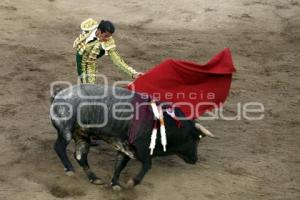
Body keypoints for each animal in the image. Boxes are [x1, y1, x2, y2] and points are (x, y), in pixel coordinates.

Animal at [50, 84, 213, 189]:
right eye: (195, 139)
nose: (195, 159)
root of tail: (59, 94)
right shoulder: (141, 147)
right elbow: (147, 165)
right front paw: (132, 182)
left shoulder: (125, 146)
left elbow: (120, 164)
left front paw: (115, 184)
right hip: (66, 130)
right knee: (59, 147)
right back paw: (69, 169)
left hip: (82, 135)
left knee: (81, 156)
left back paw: (94, 178)